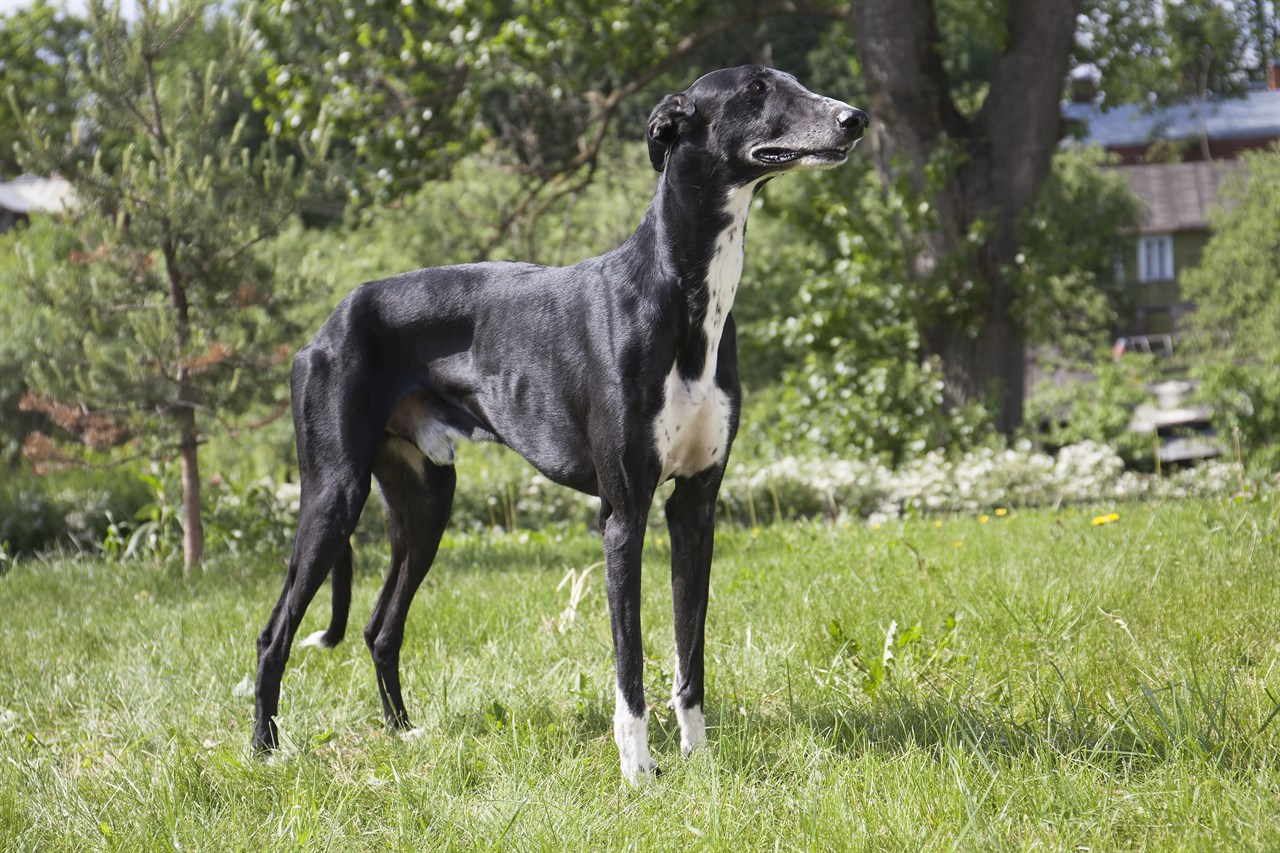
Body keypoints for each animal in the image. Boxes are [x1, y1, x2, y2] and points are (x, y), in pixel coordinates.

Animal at [253, 66, 865, 778]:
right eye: (757, 89)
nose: (854, 119)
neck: (680, 294)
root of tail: (326, 325)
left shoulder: (695, 507)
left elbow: (690, 650)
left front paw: (699, 761)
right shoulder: (623, 516)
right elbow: (629, 661)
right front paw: (639, 771)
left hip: (426, 502)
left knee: (382, 627)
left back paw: (403, 734)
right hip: (334, 494)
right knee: (274, 633)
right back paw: (264, 753)